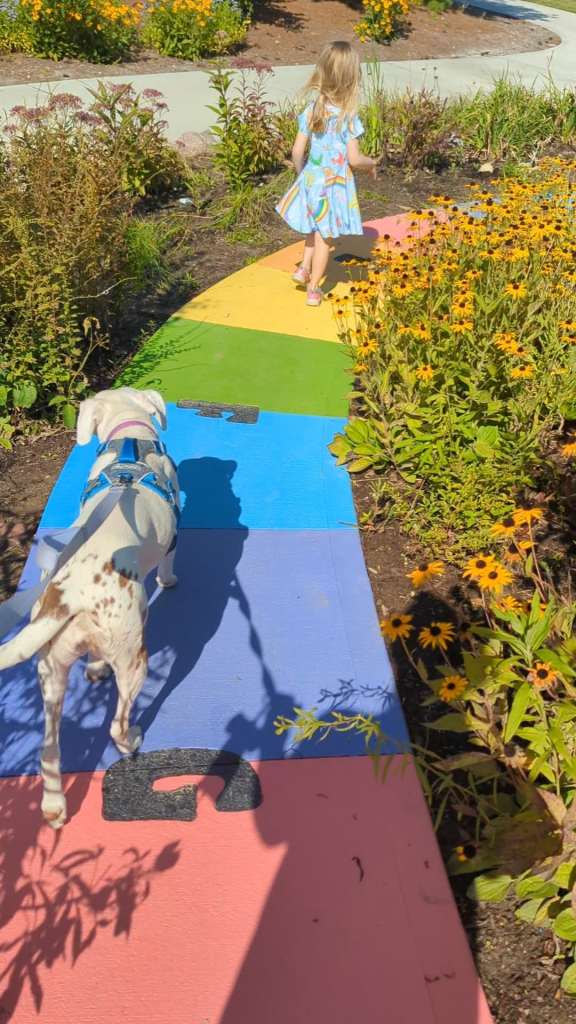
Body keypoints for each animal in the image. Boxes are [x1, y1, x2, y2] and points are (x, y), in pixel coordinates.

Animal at [0, 387, 179, 827]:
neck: (129, 441)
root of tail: (69, 598)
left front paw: (96, 669)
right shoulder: (172, 540)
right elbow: (168, 565)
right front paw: (168, 581)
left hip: (51, 673)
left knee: (48, 753)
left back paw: (54, 808)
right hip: (134, 661)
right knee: (117, 726)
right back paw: (132, 740)